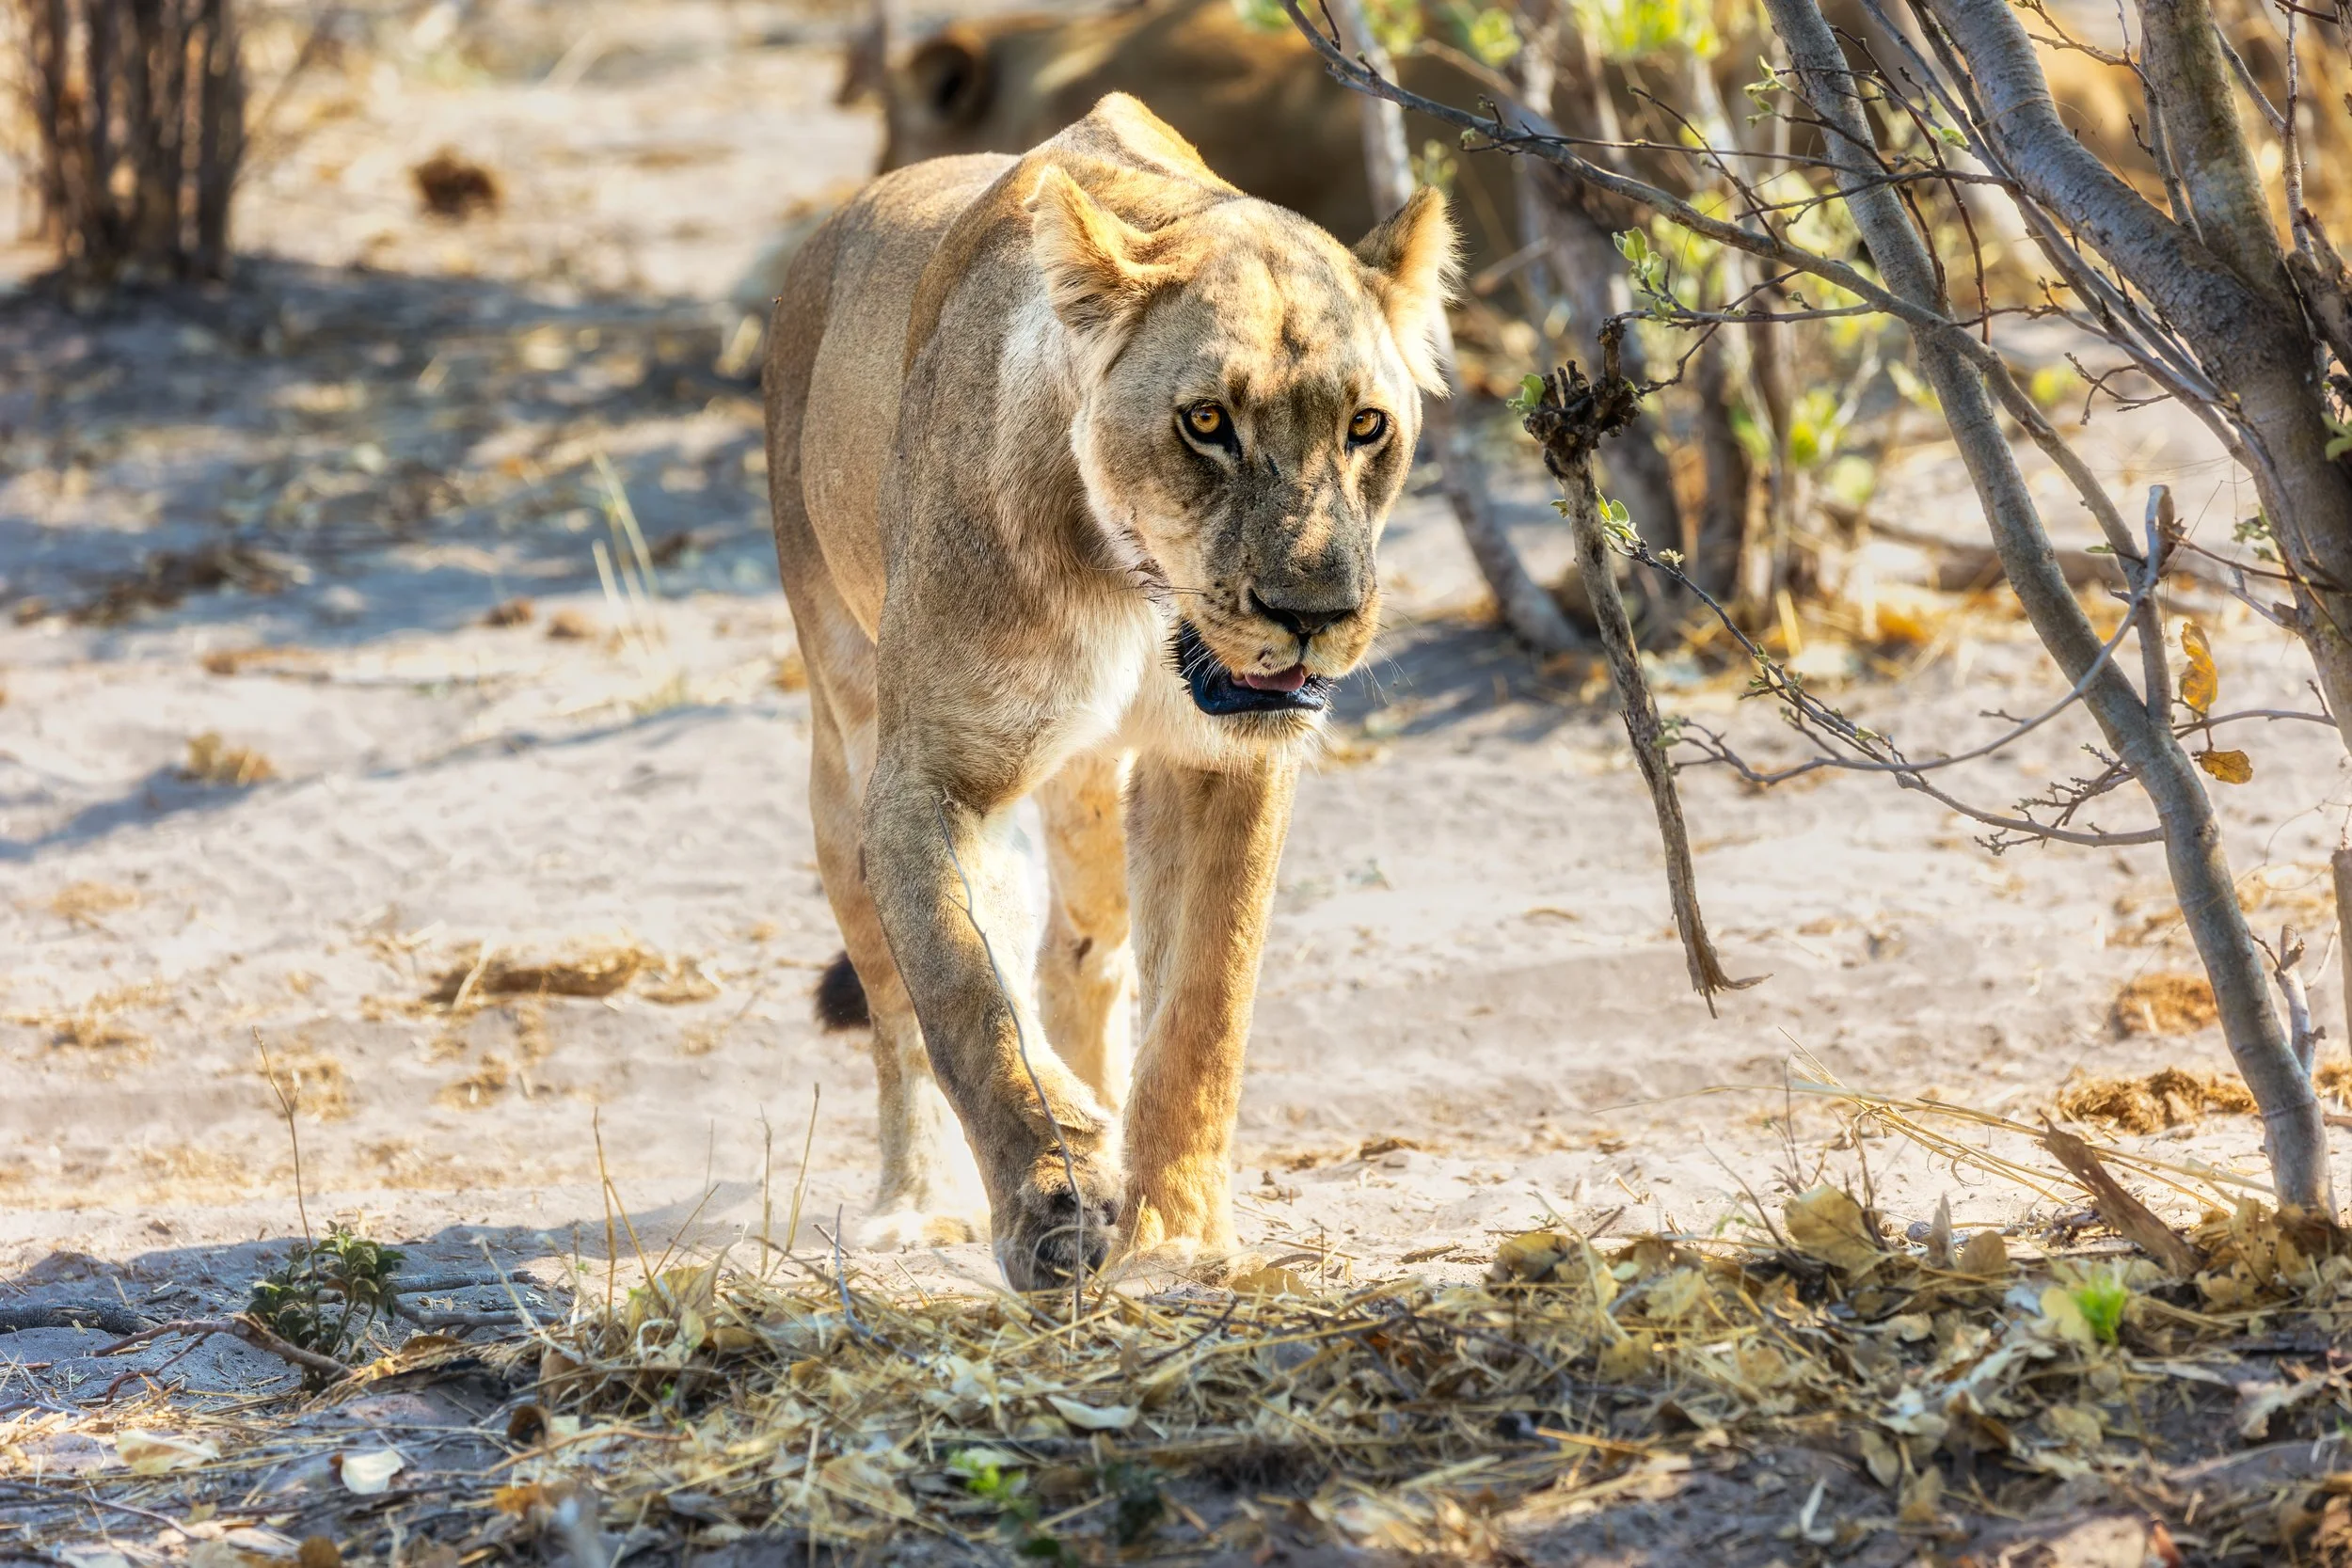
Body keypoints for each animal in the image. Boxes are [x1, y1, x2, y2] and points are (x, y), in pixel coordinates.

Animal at [763, 93, 1452, 1289]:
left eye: (1366, 426)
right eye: (1205, 422)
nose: (1310, 612)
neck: (1136, 597)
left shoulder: (1225, 760)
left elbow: (1203, 1006)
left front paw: (1174, 1228)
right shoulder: (928, 779)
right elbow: (965, 994)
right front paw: (1051, 1195)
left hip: (1091, 790)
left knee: (1079, 951)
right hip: (839, 739)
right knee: (899, 1009)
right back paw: (918, 1202)